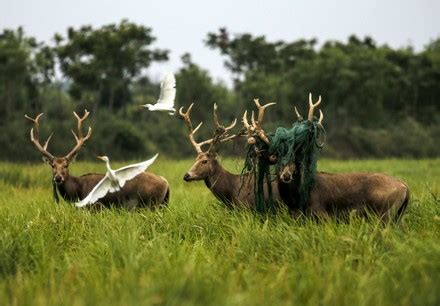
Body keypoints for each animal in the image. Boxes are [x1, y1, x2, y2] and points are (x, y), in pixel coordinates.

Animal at [25, 110, 170, 208]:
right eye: (53, 165)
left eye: (66, 164)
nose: (58, 178)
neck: (78, 191)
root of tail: (166, 183)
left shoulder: (96, 207)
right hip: (162, 204)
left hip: (151, 204)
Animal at [242, 94, 410, 221]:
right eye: (277, 156)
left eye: (295, 158)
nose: (286, 175)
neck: (297, 202)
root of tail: (405, 187)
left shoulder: (323, 214)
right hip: (397, 217)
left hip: (383, 214)